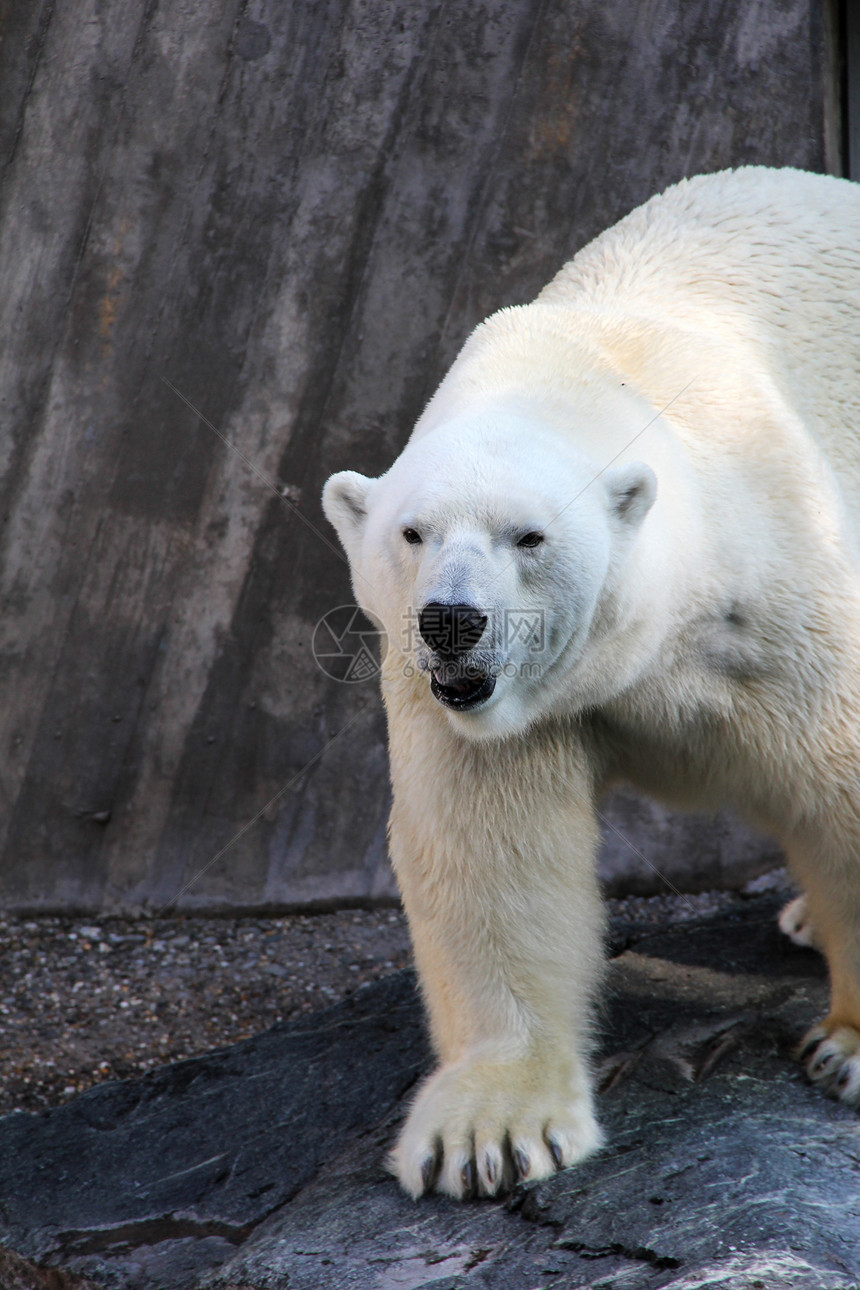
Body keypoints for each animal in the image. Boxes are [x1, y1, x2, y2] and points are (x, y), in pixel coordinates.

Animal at [321, 168, 860, 1197]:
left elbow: (843, 786)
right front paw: (489, 1134)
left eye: (528, 536)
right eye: (413, 532)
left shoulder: (782, 604)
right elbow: (495, 847)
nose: (451, 621)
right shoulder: (492, 712)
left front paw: (845, 1049)